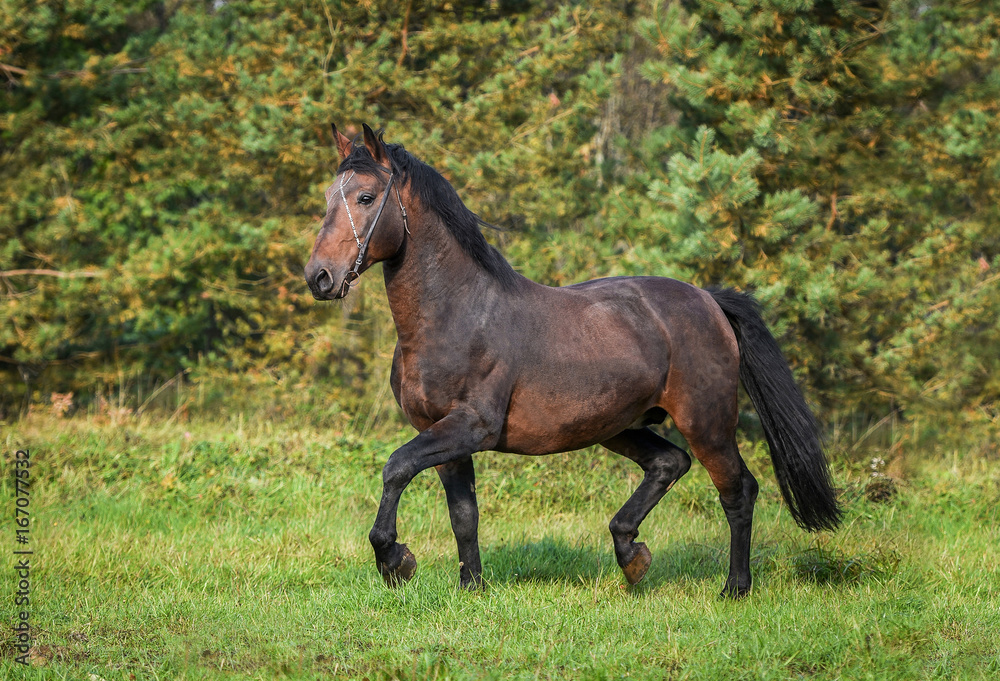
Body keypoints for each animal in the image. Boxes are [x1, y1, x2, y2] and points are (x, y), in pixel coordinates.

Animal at [304, 124, 841, 598]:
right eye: (329, 197)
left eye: (366, 198)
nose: (319, 277)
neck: (458, 314)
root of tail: (708, 300)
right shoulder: (443, 434)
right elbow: (463, 516)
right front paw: (471, 587)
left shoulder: (471, 426)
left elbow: (395, 468)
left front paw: (395, 561)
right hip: (618, 425)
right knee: (670, 463)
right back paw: (632, 556)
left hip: (705, 421)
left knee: (737, 490)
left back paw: (734, 587)